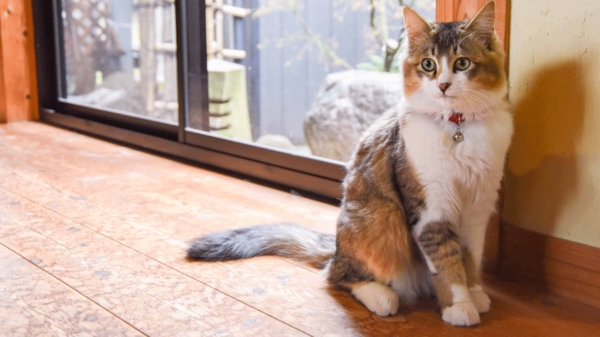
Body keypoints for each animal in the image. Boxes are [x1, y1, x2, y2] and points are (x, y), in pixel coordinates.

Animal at [186, 0, 510, 326]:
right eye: (428, 65)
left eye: (462, 64)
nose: (443, 85)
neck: (458, 127)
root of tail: (336, 248)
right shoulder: (432, 208)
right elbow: (445, 262)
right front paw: (459, 306)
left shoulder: (478, 206)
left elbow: (470, 258)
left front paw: (474, 293)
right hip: (381, 219)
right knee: (338, 275)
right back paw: (382, 297)